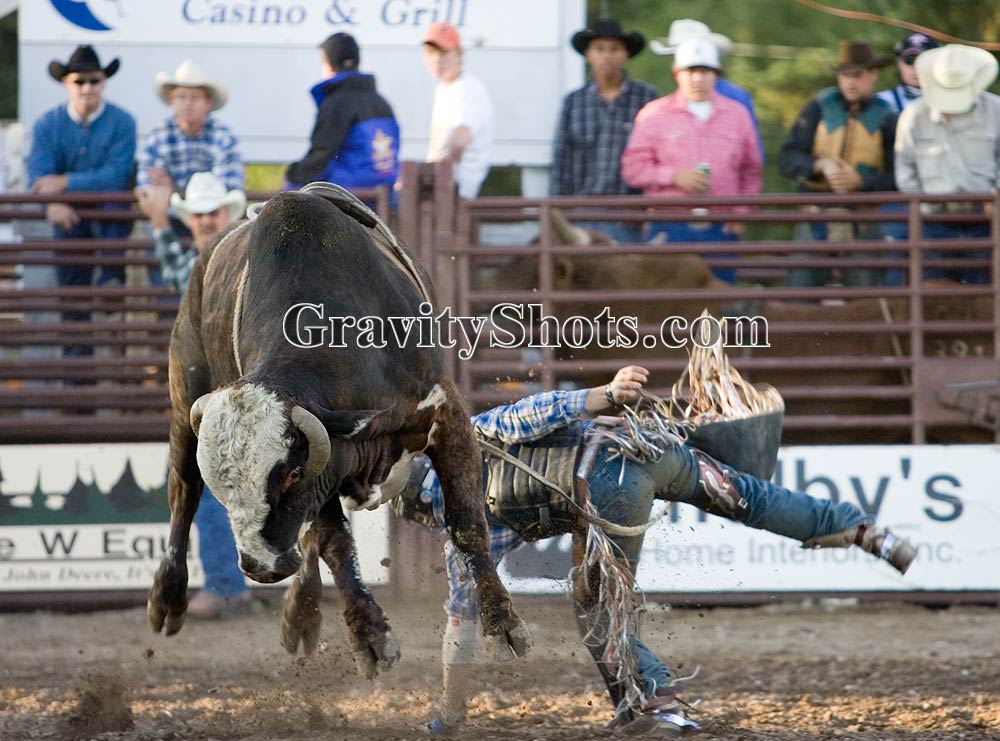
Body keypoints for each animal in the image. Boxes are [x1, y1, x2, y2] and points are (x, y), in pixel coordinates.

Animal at [147, 182, 532, 672]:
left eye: (290, 473)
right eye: (225, 487)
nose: (259, 566)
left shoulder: (446, 417)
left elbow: (466, 520)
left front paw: (503, 624)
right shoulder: (327, 465)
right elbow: (334, 542)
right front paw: (369, 633)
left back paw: (299, 609)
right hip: (184, 401)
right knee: (183, 492)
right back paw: (173, 599)